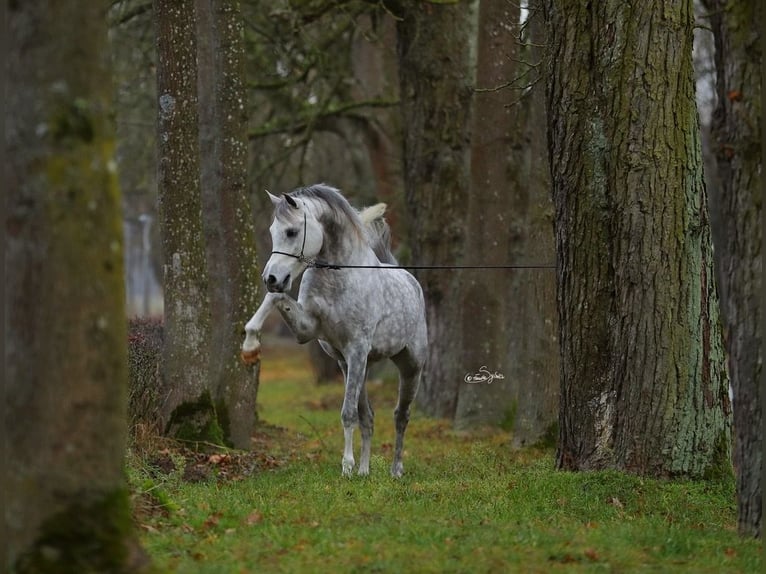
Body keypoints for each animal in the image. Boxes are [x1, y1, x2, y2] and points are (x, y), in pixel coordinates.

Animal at [243, 183, 428, 476]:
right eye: (273, 231)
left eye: (291, 231)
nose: (271, 278)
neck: (339, 275)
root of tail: (408, 278)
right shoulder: (309, 331)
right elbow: (275, 298)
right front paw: (250, 346)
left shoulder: (356, 350)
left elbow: (347, 413)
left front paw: (346, 467)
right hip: (357, 366)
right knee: (369, 417)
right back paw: (365, 471)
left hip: (409, 366)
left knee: (401, 415)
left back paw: (395, 470)